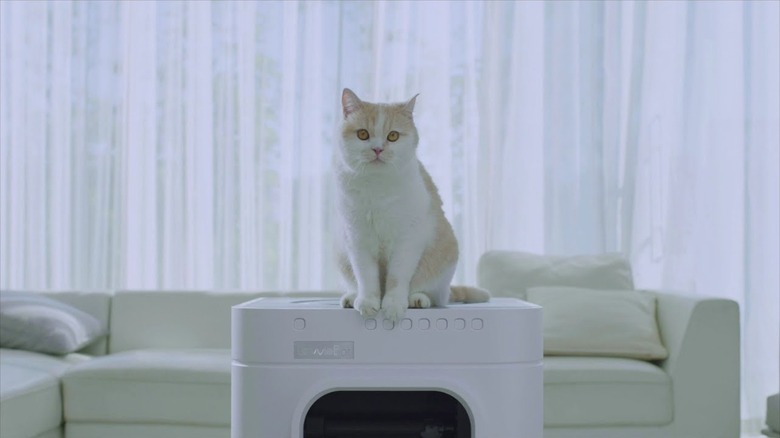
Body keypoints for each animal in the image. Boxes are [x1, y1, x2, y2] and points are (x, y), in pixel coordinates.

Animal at [334, 88, 488, 322]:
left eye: (393, 136)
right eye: (362, 134)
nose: (378, 149)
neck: (377, 186)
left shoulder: (408, 240)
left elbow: (397, 277)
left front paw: (394, 304)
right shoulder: (357, 238)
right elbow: (366, 276)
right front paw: (368, 302)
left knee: (432, 294)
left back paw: (417, 299)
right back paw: (352, 297)